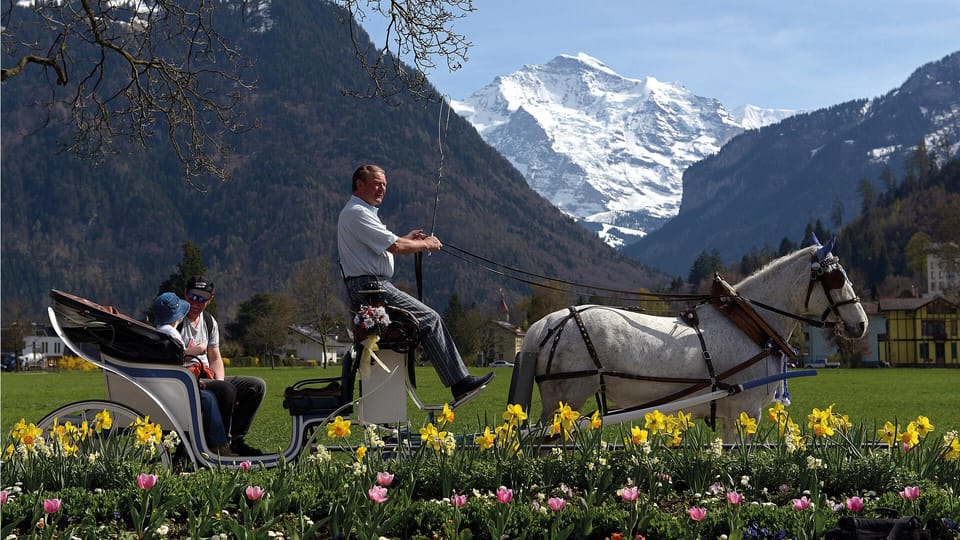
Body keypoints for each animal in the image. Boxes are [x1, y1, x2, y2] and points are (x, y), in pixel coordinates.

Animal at [510, 238, 872, 440]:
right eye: (836, 278)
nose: (861, 324)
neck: (749, 323)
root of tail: (549, 322)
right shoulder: (745, 411)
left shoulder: (731, 415)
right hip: (566, 400)